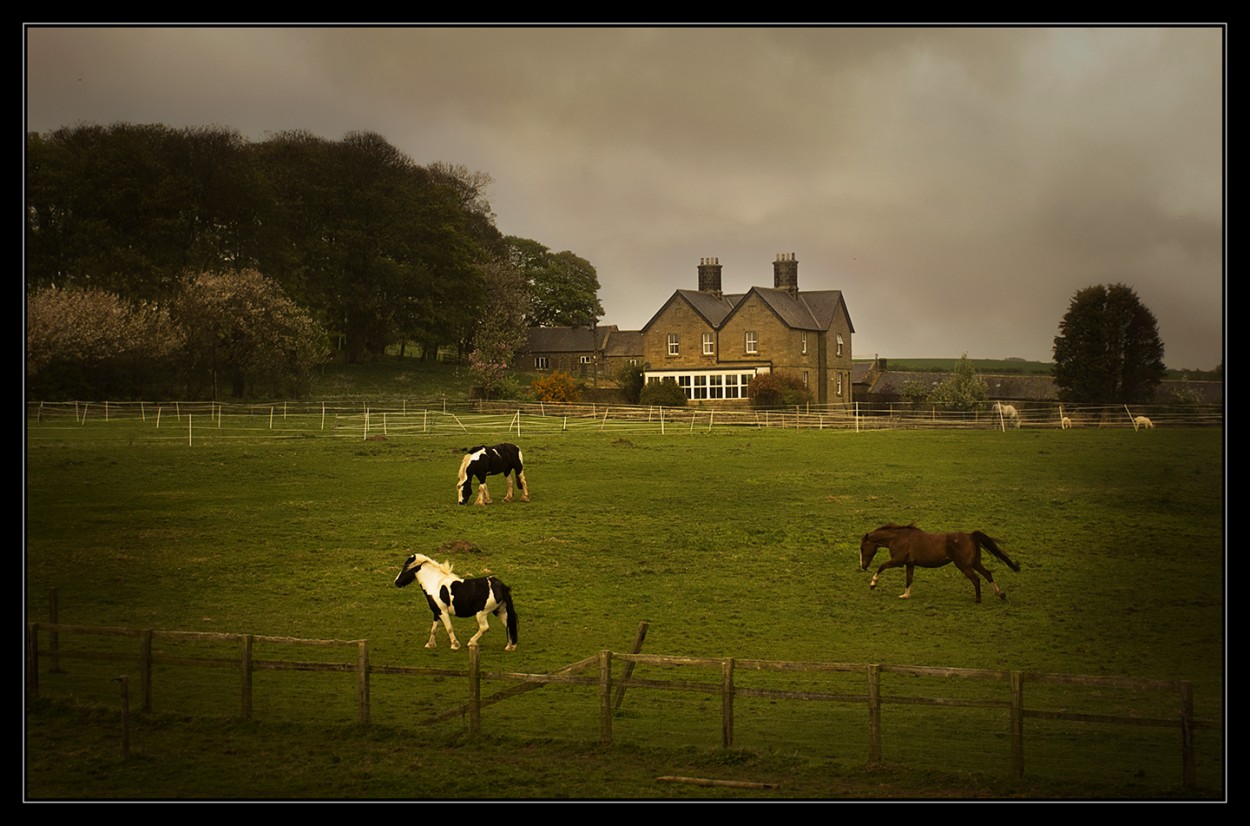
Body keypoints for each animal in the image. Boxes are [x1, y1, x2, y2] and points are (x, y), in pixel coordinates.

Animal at [860, 524, 1025, 602]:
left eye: (862, 548)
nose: (863, 566)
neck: (898, 538)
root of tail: (971, 536)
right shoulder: (910, 564)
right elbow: (909, 579)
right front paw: (905, 595)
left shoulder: (898, 561)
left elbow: (881, 566)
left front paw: (873, 584)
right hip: (974, 563)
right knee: (987, 574)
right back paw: (1000, 594)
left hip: (964, 565)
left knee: (976, 579)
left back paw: (978, 600)